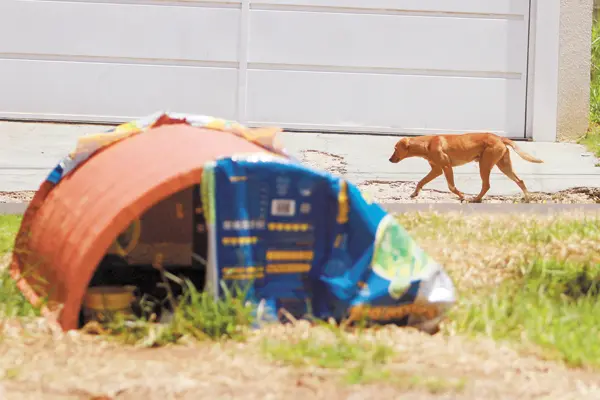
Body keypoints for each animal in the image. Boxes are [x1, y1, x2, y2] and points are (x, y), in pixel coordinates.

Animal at [390, 133, 544, 203]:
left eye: (395, 149)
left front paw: (462, 196)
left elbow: (451, 187)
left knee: (486, 185)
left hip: (485, 165)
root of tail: (499, 137)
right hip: (504, 166)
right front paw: (415, 193)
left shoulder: (446, 167)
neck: (427, 144)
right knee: (520, 181)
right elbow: (421, 181)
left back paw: (475, 199)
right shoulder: (437, 170)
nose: (389, 159)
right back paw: (527, 198)